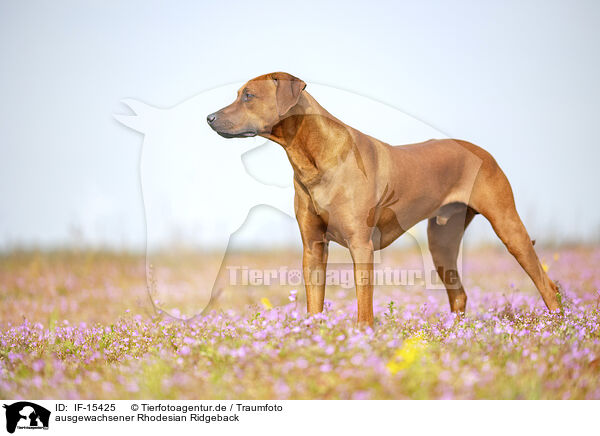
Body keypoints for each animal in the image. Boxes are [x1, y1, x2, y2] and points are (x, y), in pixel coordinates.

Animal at [207, 72, 564, 324]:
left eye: (249, 96)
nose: (209, 117)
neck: (313, 157)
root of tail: (482, 151)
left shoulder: (361, 245)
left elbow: (364, 307)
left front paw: (363, 338)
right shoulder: (312, 247)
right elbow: (314, 303)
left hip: (507, 225)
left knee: (548, 285)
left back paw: (557, 329)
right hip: (442, 242)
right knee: (459, 294)